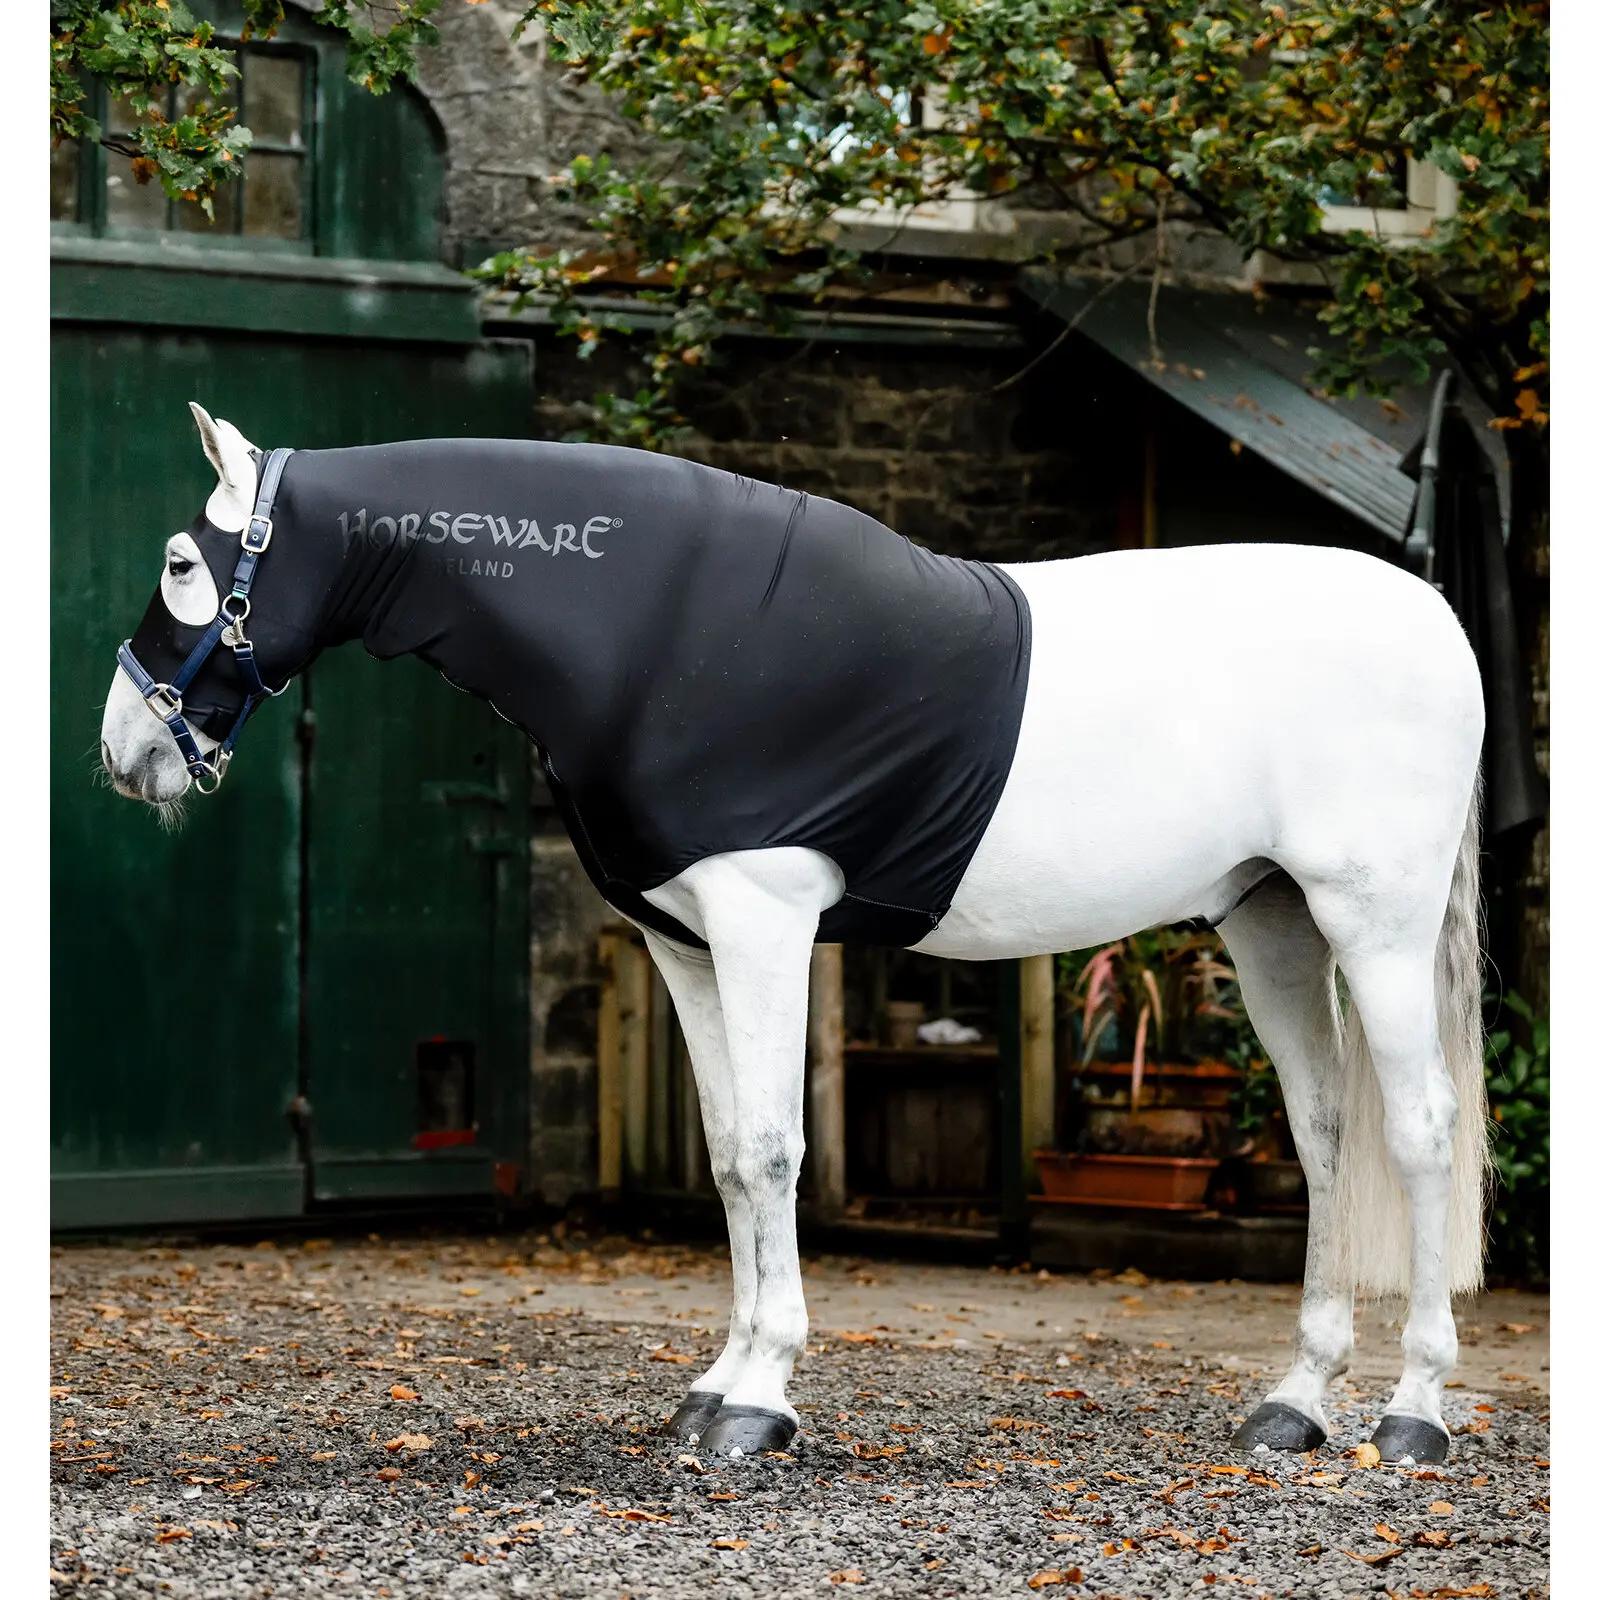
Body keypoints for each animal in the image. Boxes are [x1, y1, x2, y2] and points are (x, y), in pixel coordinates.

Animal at [100, 404, 1488, 1465]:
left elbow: (774, 1151)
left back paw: (1412, 1414)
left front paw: (761, 1397)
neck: (653, 622)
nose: (123, 751)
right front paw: (718, 1382)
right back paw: (1295, 1404)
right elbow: (727, 1158)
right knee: (1324, 1133)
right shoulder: (685, 944)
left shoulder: (762, 917)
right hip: (1271, 921)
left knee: (1418, 1133)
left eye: (180, 561)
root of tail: (1436, 616)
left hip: (1372, 921)